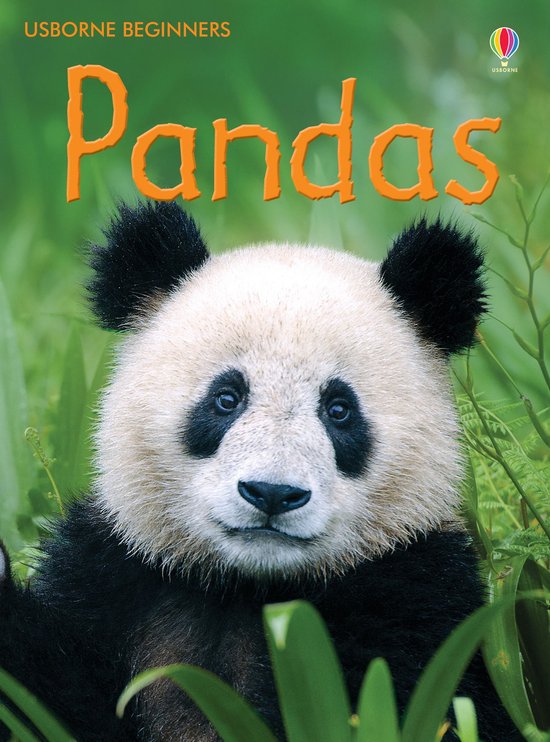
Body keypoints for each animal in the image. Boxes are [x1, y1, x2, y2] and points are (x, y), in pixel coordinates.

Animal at [0, 201, 520, 741]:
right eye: (226, 399)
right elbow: (55, 698)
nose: (272, 493)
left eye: (339, 410)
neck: (247, 586)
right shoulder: (116, 574)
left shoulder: (417, 598)